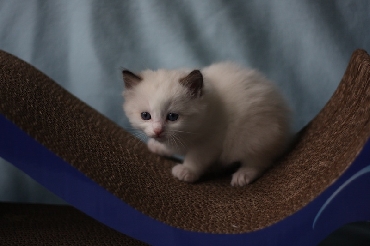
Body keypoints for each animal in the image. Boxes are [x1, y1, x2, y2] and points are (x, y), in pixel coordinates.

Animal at [123, 62, 290, 186]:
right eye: (145, 116)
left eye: (172, 117)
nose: (157, 131)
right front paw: (157, 147)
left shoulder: (211, 141)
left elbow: (196, 158)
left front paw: (186, 171)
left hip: (255, 136)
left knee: (260, 161)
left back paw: (243, 175)